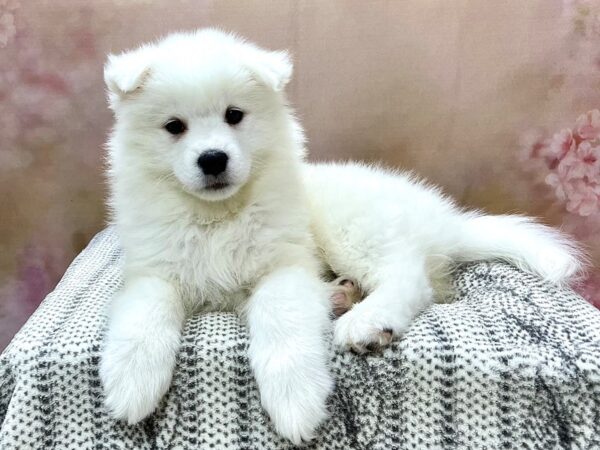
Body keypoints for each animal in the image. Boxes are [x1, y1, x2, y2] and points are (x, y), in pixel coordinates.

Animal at [101, 29, 584, 446]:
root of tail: (446, 222)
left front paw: (294, 402)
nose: (213, 159)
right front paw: (131, 382)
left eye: (234, 116)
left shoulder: (286, 266)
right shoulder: (154, 270)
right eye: (174, 126)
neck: (218, 215)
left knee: (409, 278)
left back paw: (367, 321)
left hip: (352, 227)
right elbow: (144, 313)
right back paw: (340, 295)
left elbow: (279, 320)